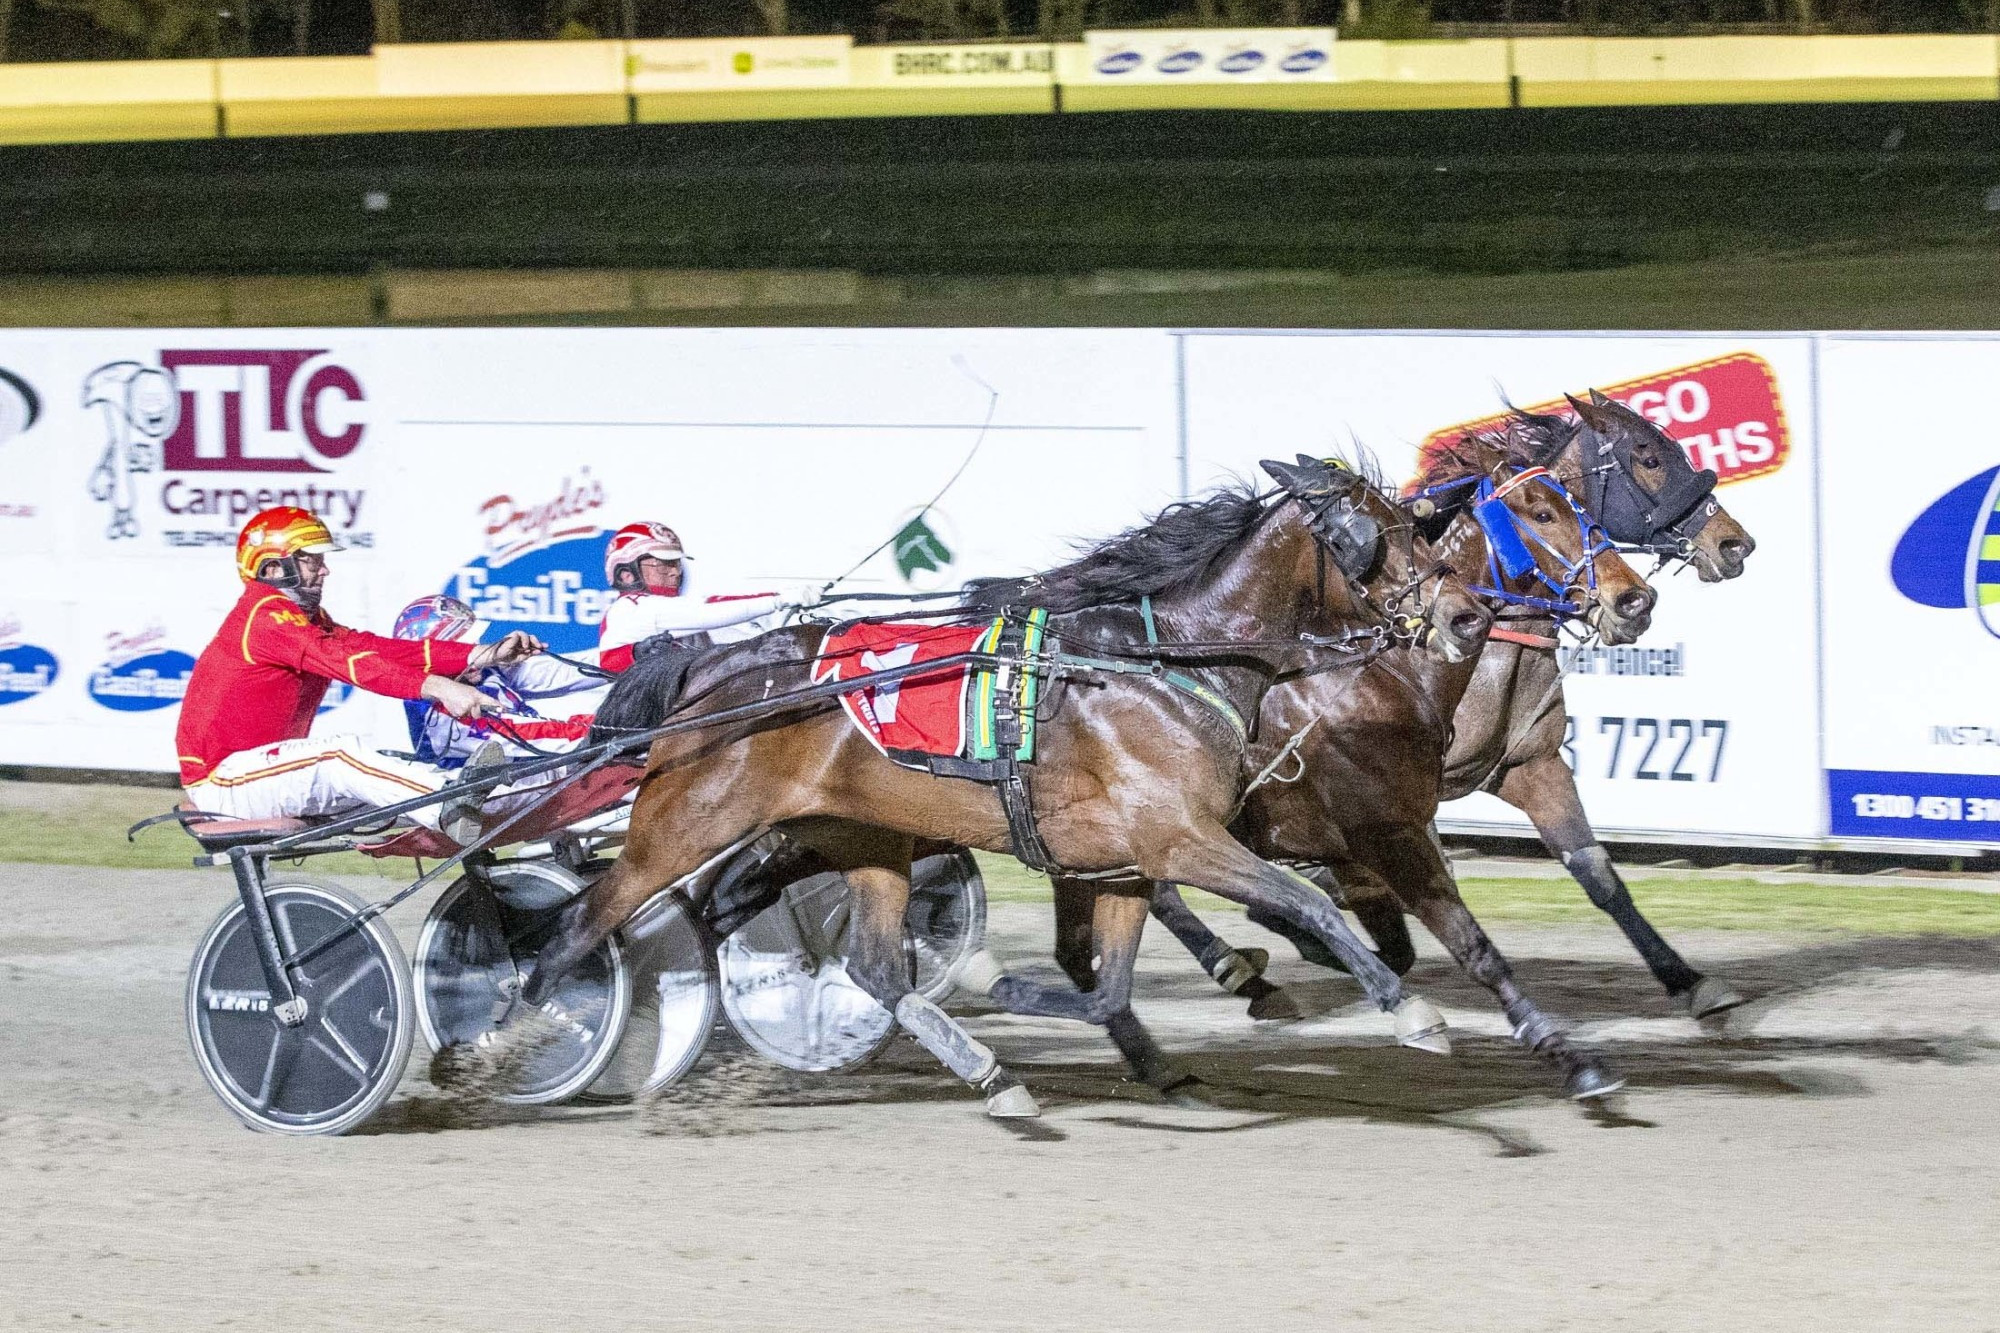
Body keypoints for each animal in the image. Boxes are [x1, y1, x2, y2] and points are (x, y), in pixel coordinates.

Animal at [468, 454, 1496, 1112]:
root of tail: (711, 670)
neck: (1161, 663)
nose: (1466, 616)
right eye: (1377, 535)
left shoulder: (1130, 860)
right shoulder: (1180, 839)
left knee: (853, 961)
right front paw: (1413, 1012)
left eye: (1419, 527)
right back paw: (500, 1040)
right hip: (683, 823)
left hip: (857, 837)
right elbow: (1307, 902)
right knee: (587, 922)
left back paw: (990, 1075)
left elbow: (1107, 987)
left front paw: (1024, 993)